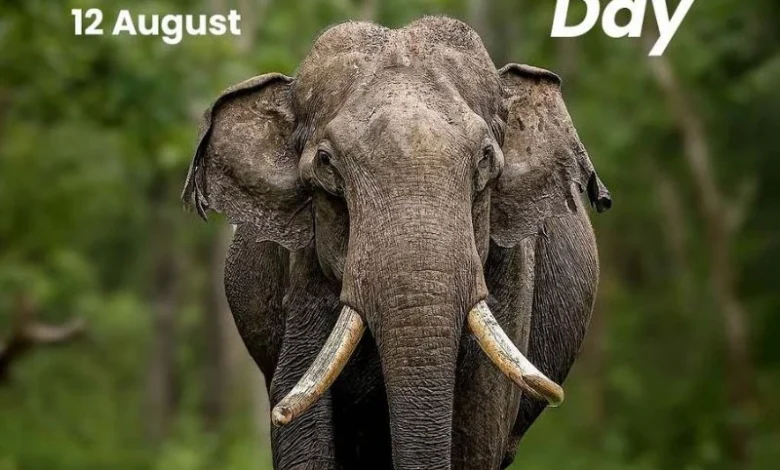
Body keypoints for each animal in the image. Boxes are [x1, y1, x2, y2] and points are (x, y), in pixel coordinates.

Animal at [182, 16, 611, 470]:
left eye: (485, 160)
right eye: (326, 164)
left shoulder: (510, 264)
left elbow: (479, 419)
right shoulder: (301, 264)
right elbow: (299, 404)